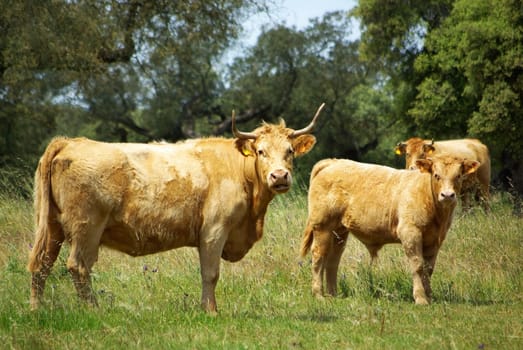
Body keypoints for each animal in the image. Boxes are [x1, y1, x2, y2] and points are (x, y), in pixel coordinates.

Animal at [28, 103, 326, 312]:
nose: (279, 176)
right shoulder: (214, 231)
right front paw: (211, 311)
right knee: (78, 266)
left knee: (41, 264)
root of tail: (70, 141)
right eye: (261, 151)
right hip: (86, 228)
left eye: (289, 151)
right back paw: (93, 310)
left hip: (52, 227)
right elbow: (210, 273)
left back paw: (36, 309)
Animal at [300, 155, 482, 304]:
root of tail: (333, 162)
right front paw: (420, 298)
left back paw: (333, 294)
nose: (448, 195)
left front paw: (429, 295)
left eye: (458, 176)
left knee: (333, 260)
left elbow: (429, 268)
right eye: (436, 175)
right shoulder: (410, 233)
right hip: (322, 227)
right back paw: (318, 294)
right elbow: (418, 265)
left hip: (339, 231)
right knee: (319, 256)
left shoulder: (435, 239)